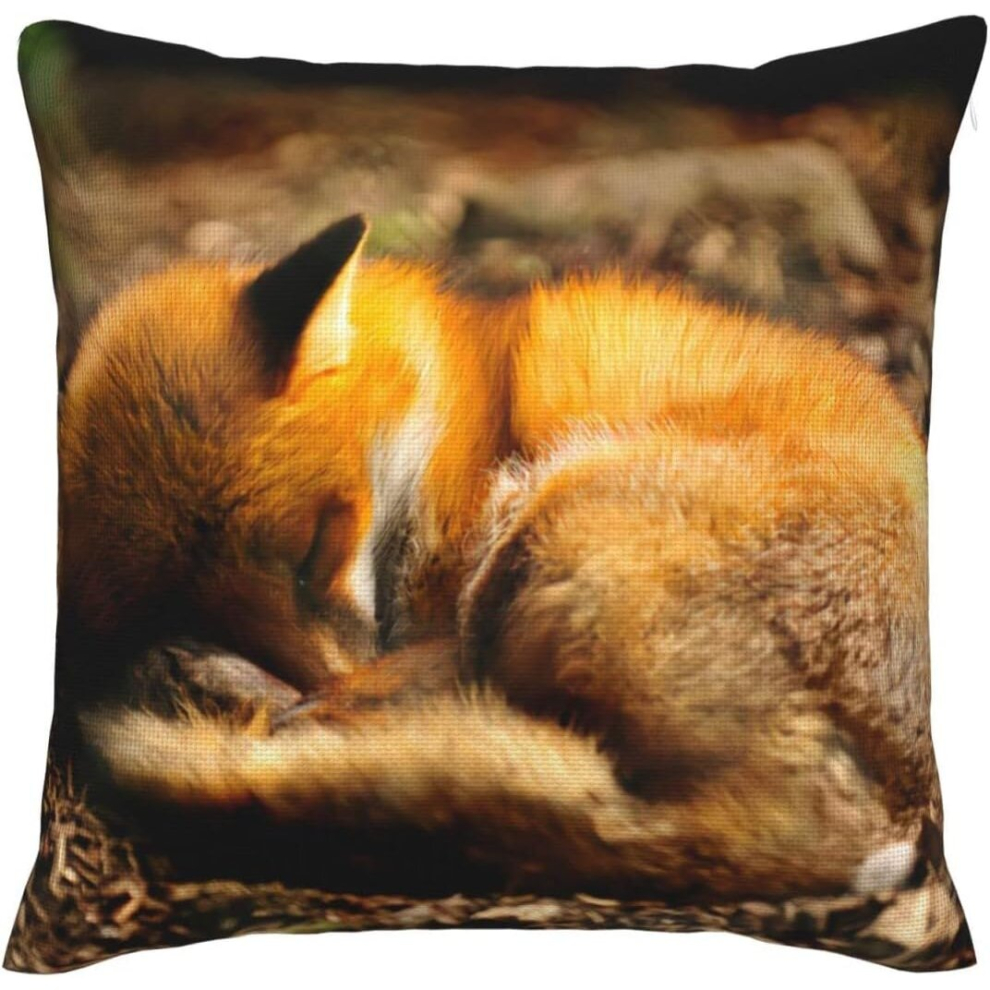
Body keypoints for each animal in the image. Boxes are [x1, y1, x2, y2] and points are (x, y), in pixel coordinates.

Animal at [60, 214, 936, 900]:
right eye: (200, 604)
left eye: (313, 549)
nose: (334, 673)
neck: (450, 402)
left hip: (550, 515)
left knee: (467, 699)